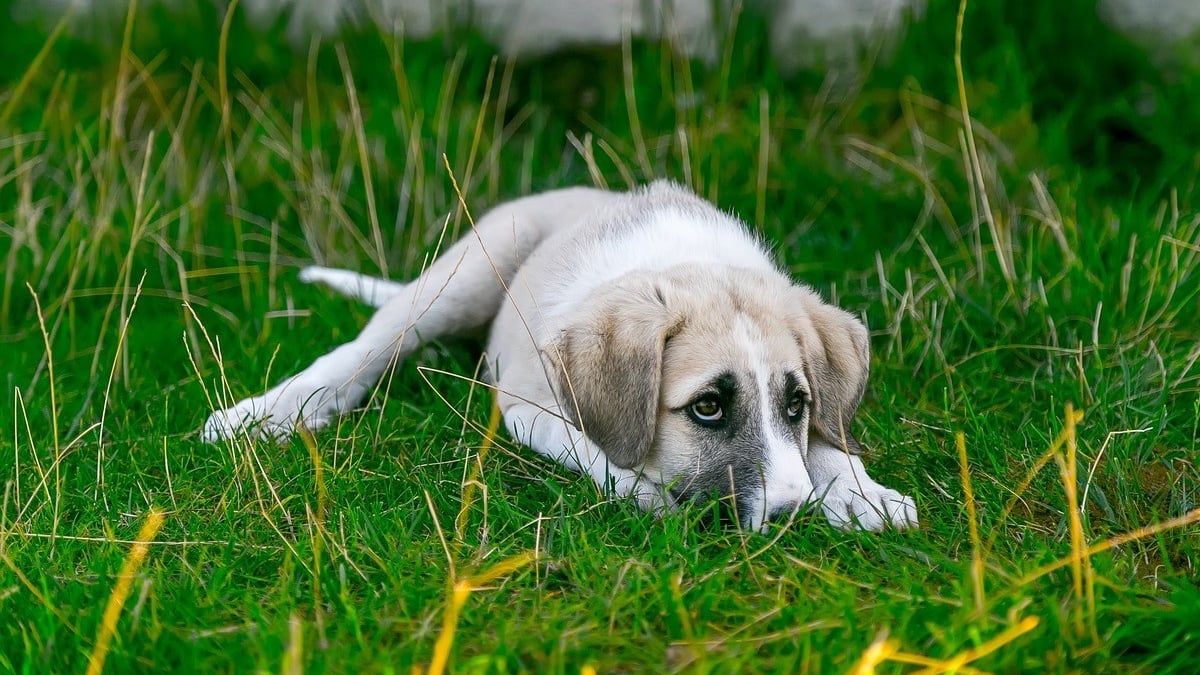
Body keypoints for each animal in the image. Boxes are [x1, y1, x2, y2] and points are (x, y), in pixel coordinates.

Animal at [204, 178, 916, 530]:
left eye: (797, 405)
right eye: (708, 408)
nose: (794, 516)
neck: (683, 260)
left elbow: (826, 442)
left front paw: (862, 492)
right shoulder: (526, 407)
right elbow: (595, 449)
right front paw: (644, 490)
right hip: (468, 269)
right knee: (367, 347)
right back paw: (269, 412)